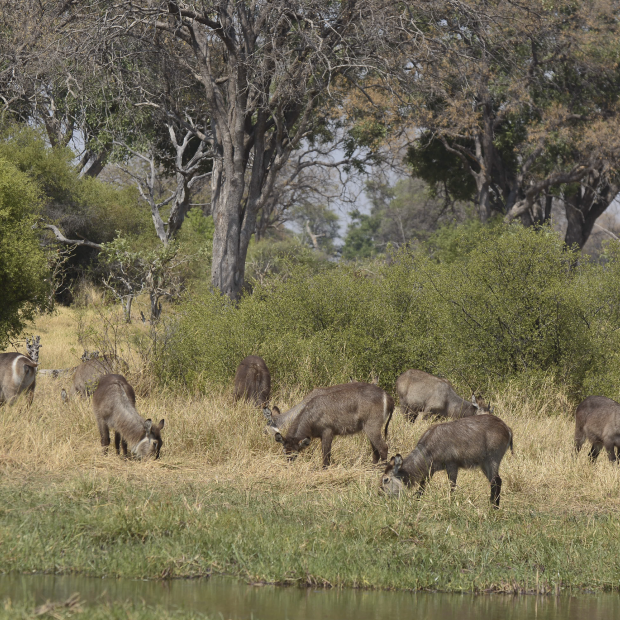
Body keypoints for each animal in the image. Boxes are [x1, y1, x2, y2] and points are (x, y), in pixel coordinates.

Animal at [264, 380, 394, 468]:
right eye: (285, 452)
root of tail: (387, 396)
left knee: (383, 447)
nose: (289, 465)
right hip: (369, 429)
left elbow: (326, 454)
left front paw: (324, 469)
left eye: (295, 454)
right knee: (375, 450)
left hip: (372, 426)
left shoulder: (327, 432)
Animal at [380, 412, 512, 508]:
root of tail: (506, 427)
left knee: (496, 481)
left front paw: (450, 503)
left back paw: (494, 507)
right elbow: (422, 487)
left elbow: (452, 486)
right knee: (494, 481)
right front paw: (416, 500)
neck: (428, 449)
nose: (380, 495)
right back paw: (492, 505)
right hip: (484, 464)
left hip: (492, 459)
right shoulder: (430, 470)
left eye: (385, 480)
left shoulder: (452, 465)